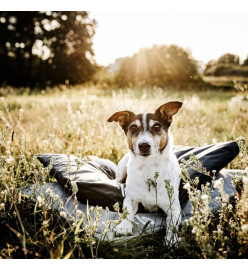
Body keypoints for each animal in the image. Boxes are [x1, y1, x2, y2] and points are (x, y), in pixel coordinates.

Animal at [108, 101, 182, 245]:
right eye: (133, 127)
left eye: (157, 126)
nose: (144, 145)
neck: (148, 167)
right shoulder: (131, 199)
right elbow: (127, 212)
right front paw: (124, 226)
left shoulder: (173, 207)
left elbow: (172, 224)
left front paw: (171, 239)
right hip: (122, 168)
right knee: (117, 180)